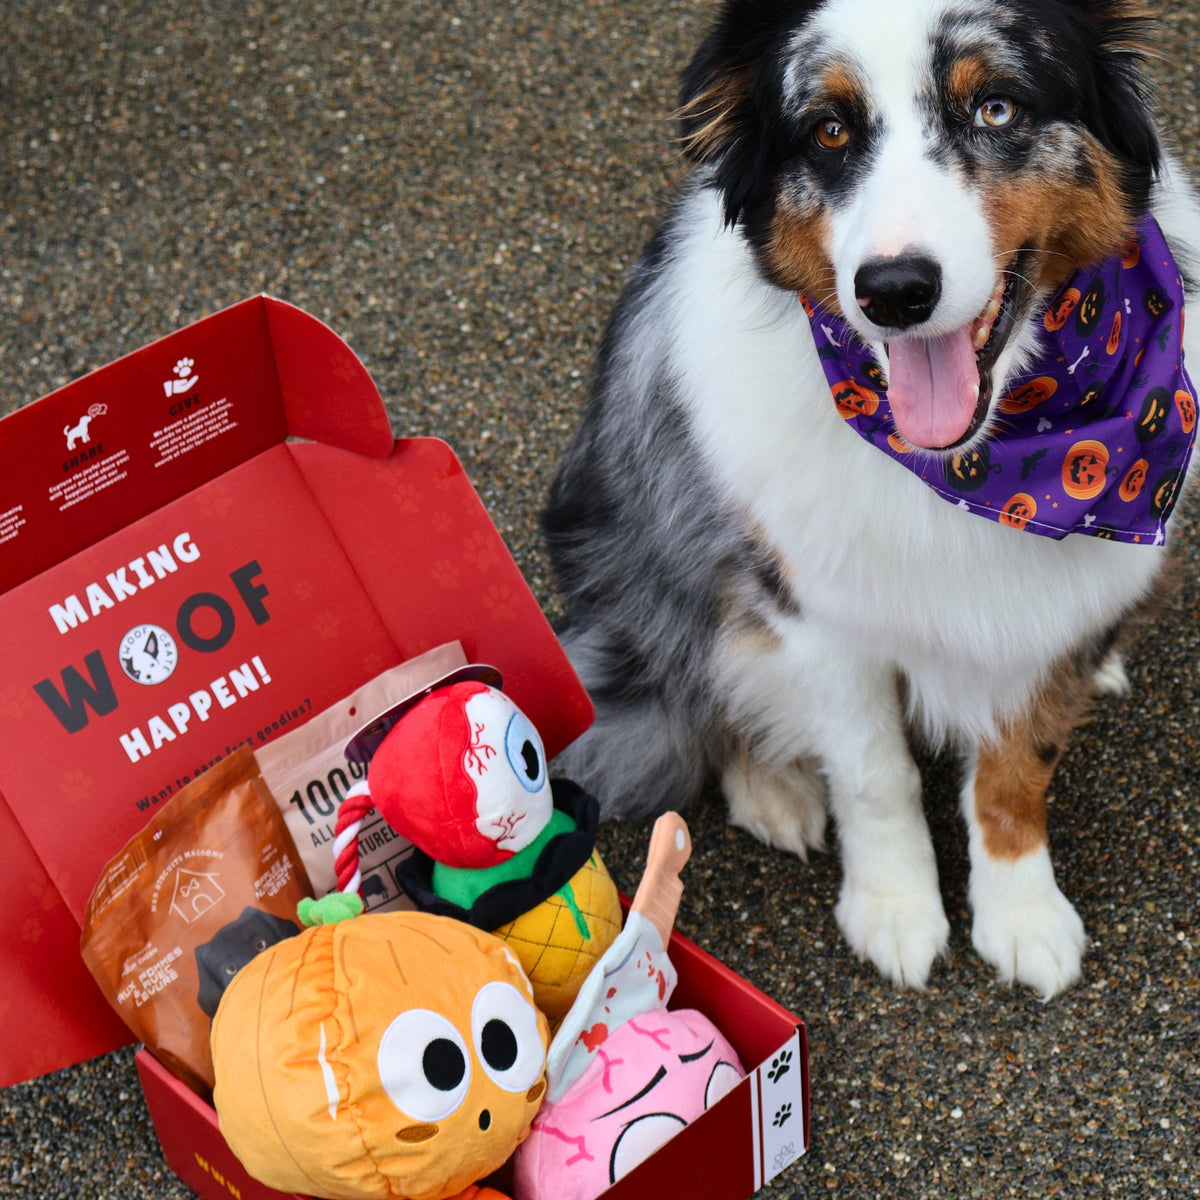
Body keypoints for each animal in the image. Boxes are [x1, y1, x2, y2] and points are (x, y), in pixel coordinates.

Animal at [544, 0, 1200, 998]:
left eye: (997, 108)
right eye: (828, 131)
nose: (894, 291)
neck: (986, 472)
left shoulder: (1047, 612)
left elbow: (1018, 766)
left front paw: (1022, 914)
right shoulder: (813, 613)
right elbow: (872, 771)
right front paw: (894, 910)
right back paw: (773, 787)